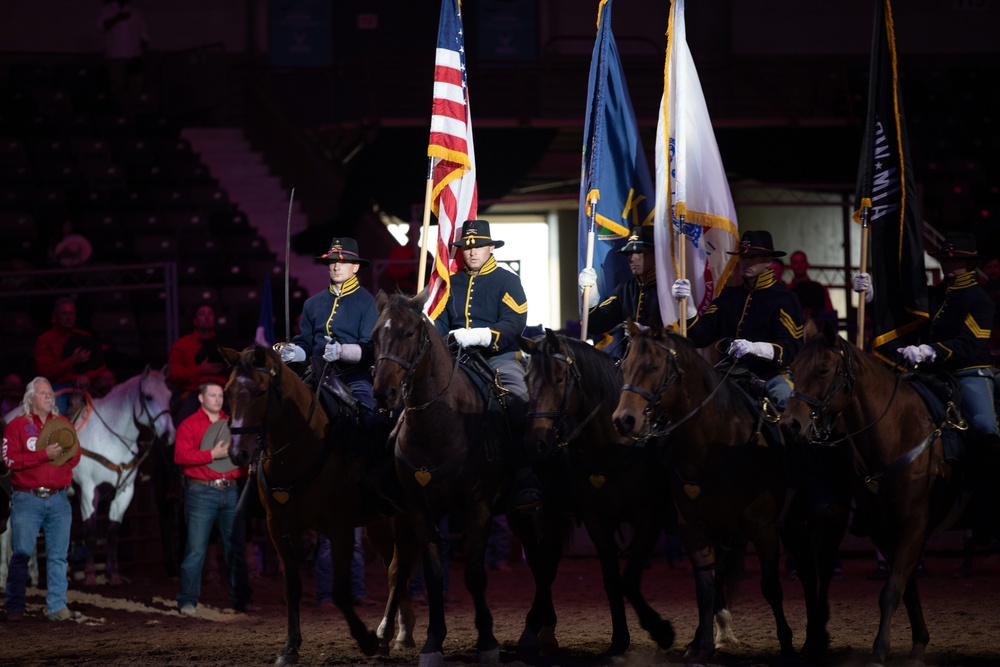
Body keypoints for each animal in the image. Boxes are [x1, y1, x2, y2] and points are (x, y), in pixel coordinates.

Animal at [223, 348, 414, 664]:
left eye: (261, 392)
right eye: (227, 392)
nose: (238, 452)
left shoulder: (340, 529)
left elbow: (339, 591)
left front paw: (365, 640)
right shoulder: (278, 527)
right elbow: (292, 586)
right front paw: (289, 647)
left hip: (402, 518)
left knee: (399, 568)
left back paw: (387, 634)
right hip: (376, 523)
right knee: (393, 566)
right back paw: (401, 632)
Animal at [370, 292, 572, 667]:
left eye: (409, 332)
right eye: (376, 335)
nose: (382, 393)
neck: (439, 424)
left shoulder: (476, 510)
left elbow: (475, 576)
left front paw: (487, 642)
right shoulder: (418, 511)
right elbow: (432, 576)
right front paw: (432, 642)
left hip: (545, 509)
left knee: (545, 560)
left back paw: (543, 632)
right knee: (399, 568)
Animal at [516, 332, 680, 656]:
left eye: (559, 378)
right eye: (527, 378)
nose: (534, 443)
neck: (612, 446)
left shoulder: (649, 517)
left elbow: (629, 578)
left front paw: (661, 631)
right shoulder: (595, 520)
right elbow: (612, 580)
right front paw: (619, 641)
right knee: (545, 565)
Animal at [608, 322, 844, 664]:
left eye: (652, 366)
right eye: (624, 367)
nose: (624, 420)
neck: (713, 443)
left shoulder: (763, 528)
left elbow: (770, 586)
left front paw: (786, 645)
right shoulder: (692, 527)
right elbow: (705, 587)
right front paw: (701, 646)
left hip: (801, 523)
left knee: (809, 570)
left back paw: (814, 638)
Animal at [780, 324, 960, 667]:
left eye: (823, 369)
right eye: (792, 370)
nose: (790, 425)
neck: (897, 432)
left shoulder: (915, 523)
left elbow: (891, 590)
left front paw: (879, 651)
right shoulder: (881, 527)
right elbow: (904, 585)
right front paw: (918, 643)